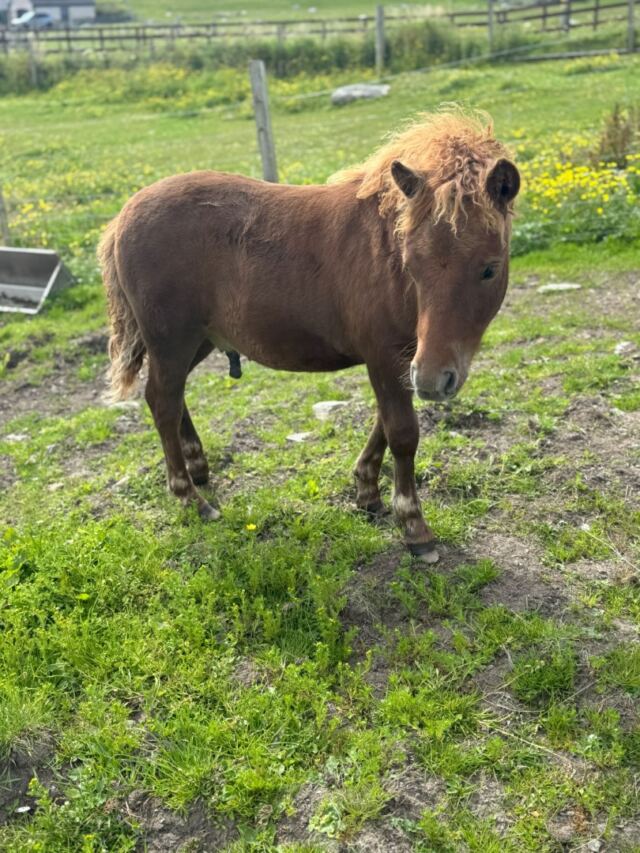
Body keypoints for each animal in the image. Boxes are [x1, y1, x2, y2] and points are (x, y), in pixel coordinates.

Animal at [99, 109, 520, 563]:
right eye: (412, 264)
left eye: (489, 268)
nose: (434, 381)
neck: (385, 252)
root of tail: (122, 217)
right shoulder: (387, 355)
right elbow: (402, 433)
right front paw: (413, 526)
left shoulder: (406, 357)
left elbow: (383, 425)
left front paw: (367, 493)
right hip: (171, 340)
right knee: (162, 401)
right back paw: (191, 498)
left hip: (197, 340)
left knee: (172, 398)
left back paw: (198, 466)